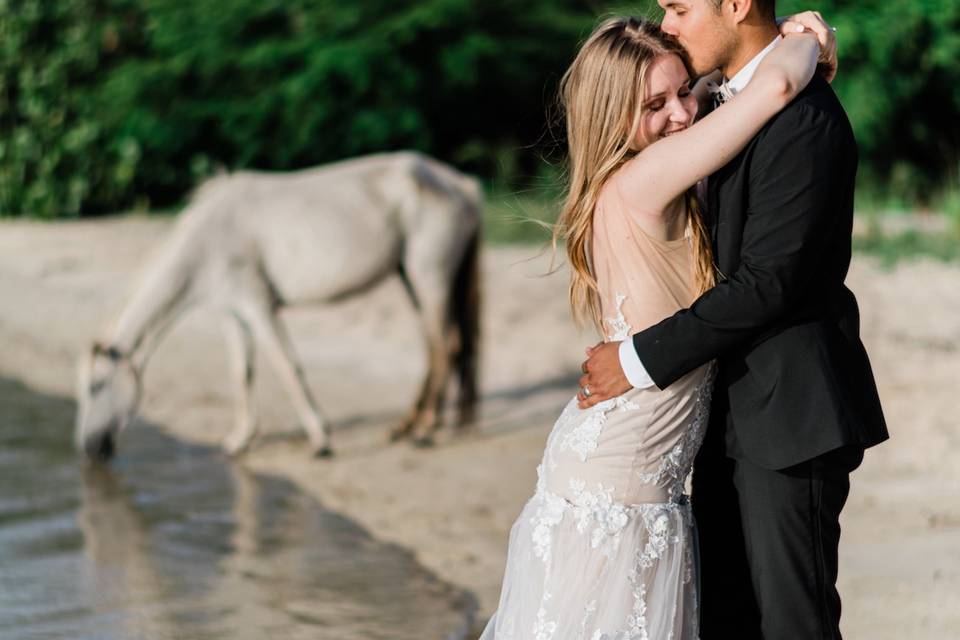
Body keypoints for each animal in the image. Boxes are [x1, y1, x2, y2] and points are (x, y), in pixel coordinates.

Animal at [75, 151, 481, 460]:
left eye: (96, 386)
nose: (89, 449)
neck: (207, 241)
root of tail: (459, 183)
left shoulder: (258, 306)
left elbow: (288, 367)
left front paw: (321, 440)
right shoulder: (232, 314)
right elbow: (241, 373)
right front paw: (239, 441)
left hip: (429, 277)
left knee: (444, 348)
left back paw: (424, 432)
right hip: (410, 278)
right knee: (438, 349)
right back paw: (409, 427)